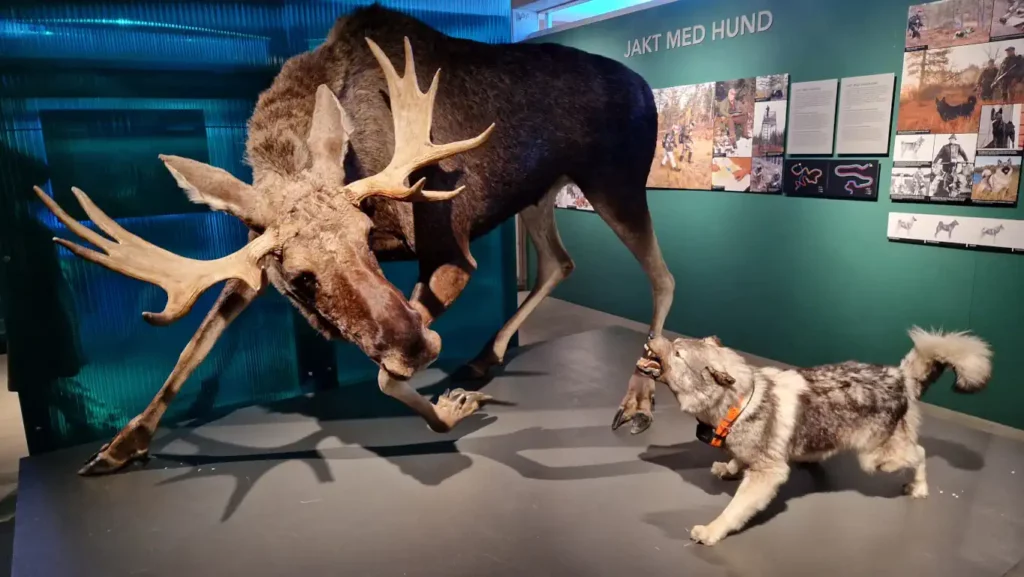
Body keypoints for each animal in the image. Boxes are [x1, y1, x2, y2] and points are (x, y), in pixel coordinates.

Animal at [34, 4, 671, 473]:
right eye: (299, 277)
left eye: (366, 232)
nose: (420, 347)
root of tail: (646, 85)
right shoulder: (251, 265)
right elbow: (196, 341)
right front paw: (120, 445)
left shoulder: (452, 251)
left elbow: (389, 375)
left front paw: (449, 411)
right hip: (540, 192)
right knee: (559, 262)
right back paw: (483, 358)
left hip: (617, 178)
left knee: (660, 275)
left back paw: (636, 397)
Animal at [634, 330, 987, 545]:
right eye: (676, 342)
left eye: (678, 352)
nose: (652, 334)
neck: (740, 401)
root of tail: (899, 375)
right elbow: (738, 459)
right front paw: (730, 467)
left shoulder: (770, 474)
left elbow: (734, 510)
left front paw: (711, 531)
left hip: (876, 460)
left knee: (920, 453)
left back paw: (919, 488)